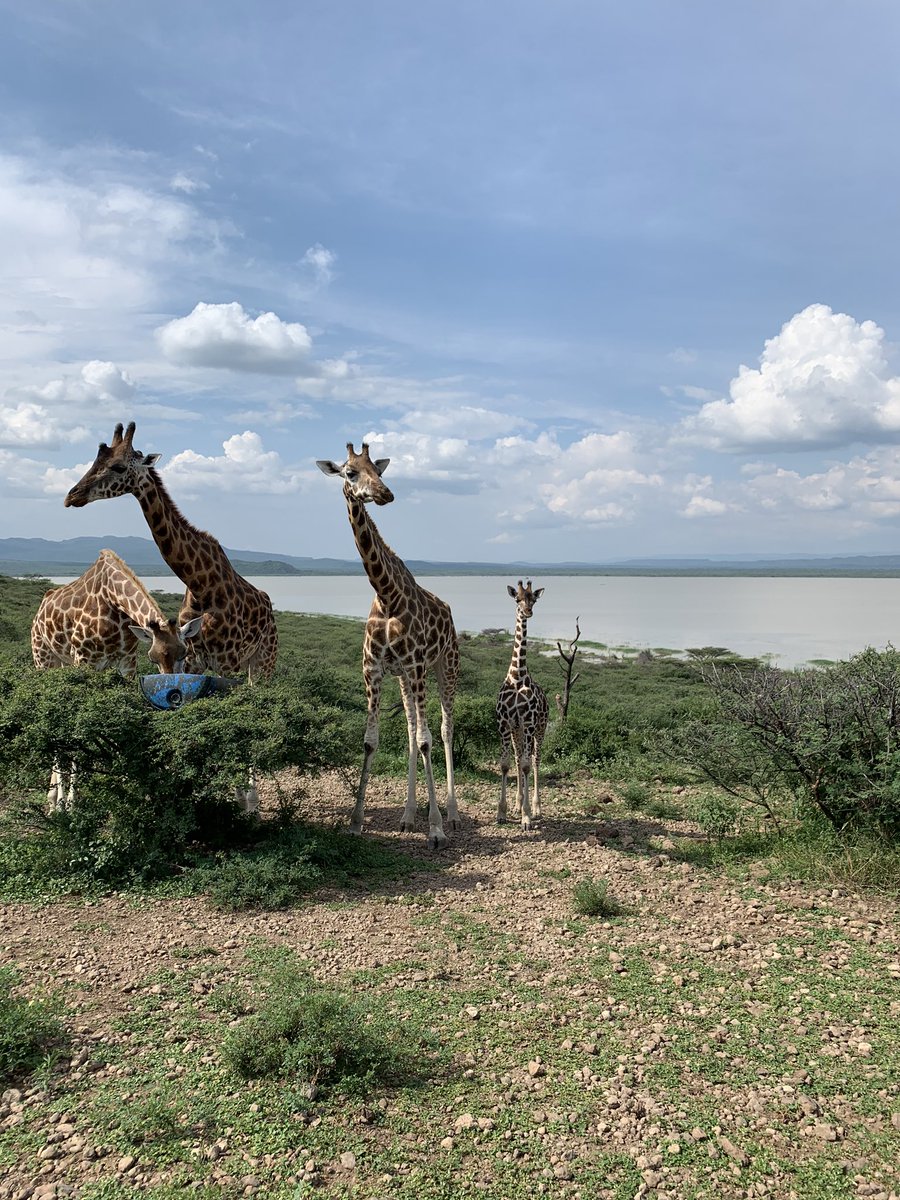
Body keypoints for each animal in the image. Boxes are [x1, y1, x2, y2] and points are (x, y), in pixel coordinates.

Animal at [32, 549, 202, 811]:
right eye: (152, 657)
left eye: (183, 654)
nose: (170, 694)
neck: (114, 604)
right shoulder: (84, 661)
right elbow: (79, 729)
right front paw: (70, 801)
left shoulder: (127, 663)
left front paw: (129, 786)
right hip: (44, 660)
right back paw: (57, 800)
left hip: (64, 665)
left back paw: (52, 795)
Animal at [63, 417, 278, 811]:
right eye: (95, 459)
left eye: (118, 466)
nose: (73, 495)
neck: (201, 580)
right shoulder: (194, 658)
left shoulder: (222, 661)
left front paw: (240, 798)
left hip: (262, 662)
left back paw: (251, 798)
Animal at [314, 446, 458, 849]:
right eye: (349, 472)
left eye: (377, 470)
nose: (385, 493)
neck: (387, 594)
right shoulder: (375, 670)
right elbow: (372, 740)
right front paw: (355, 822)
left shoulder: (417, 664)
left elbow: (427, 739)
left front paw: (435, 829)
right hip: (404, 679)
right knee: (410, 730)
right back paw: (409, 816)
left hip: (444, 666)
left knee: (444, 728)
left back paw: (452, 814)